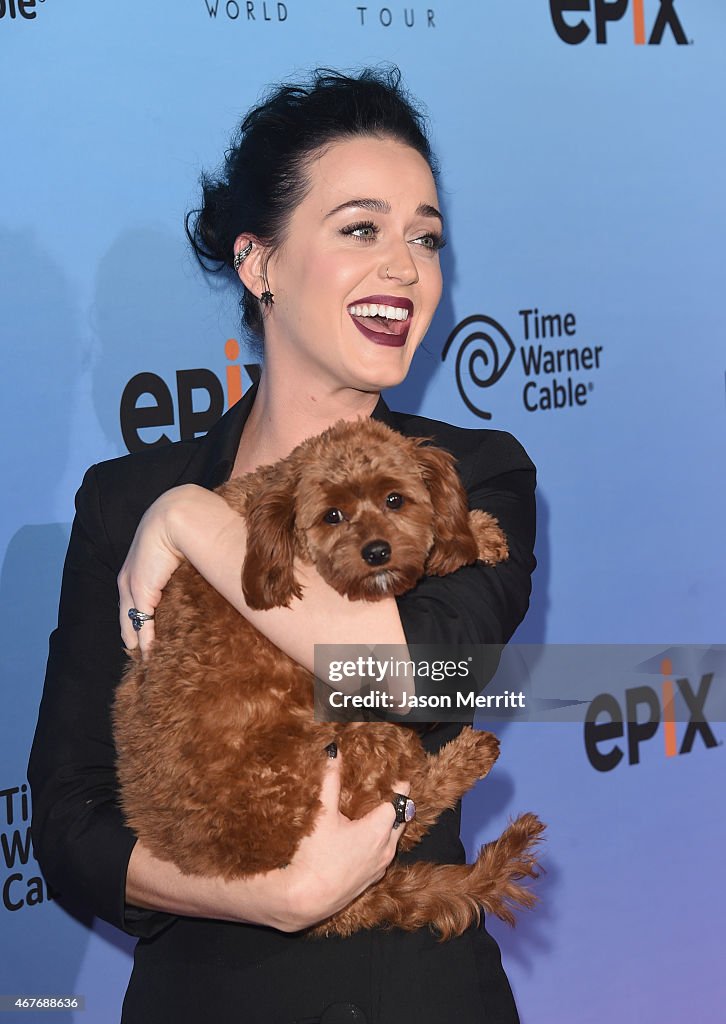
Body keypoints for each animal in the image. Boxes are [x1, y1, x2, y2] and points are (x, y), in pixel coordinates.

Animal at [113, 415, 544, 937]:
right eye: (332, 516)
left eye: (395, 499)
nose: (376, 552)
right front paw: (474, 535)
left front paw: (471, 532)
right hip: (360, 742)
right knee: (406, 811)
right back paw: (467, 757)